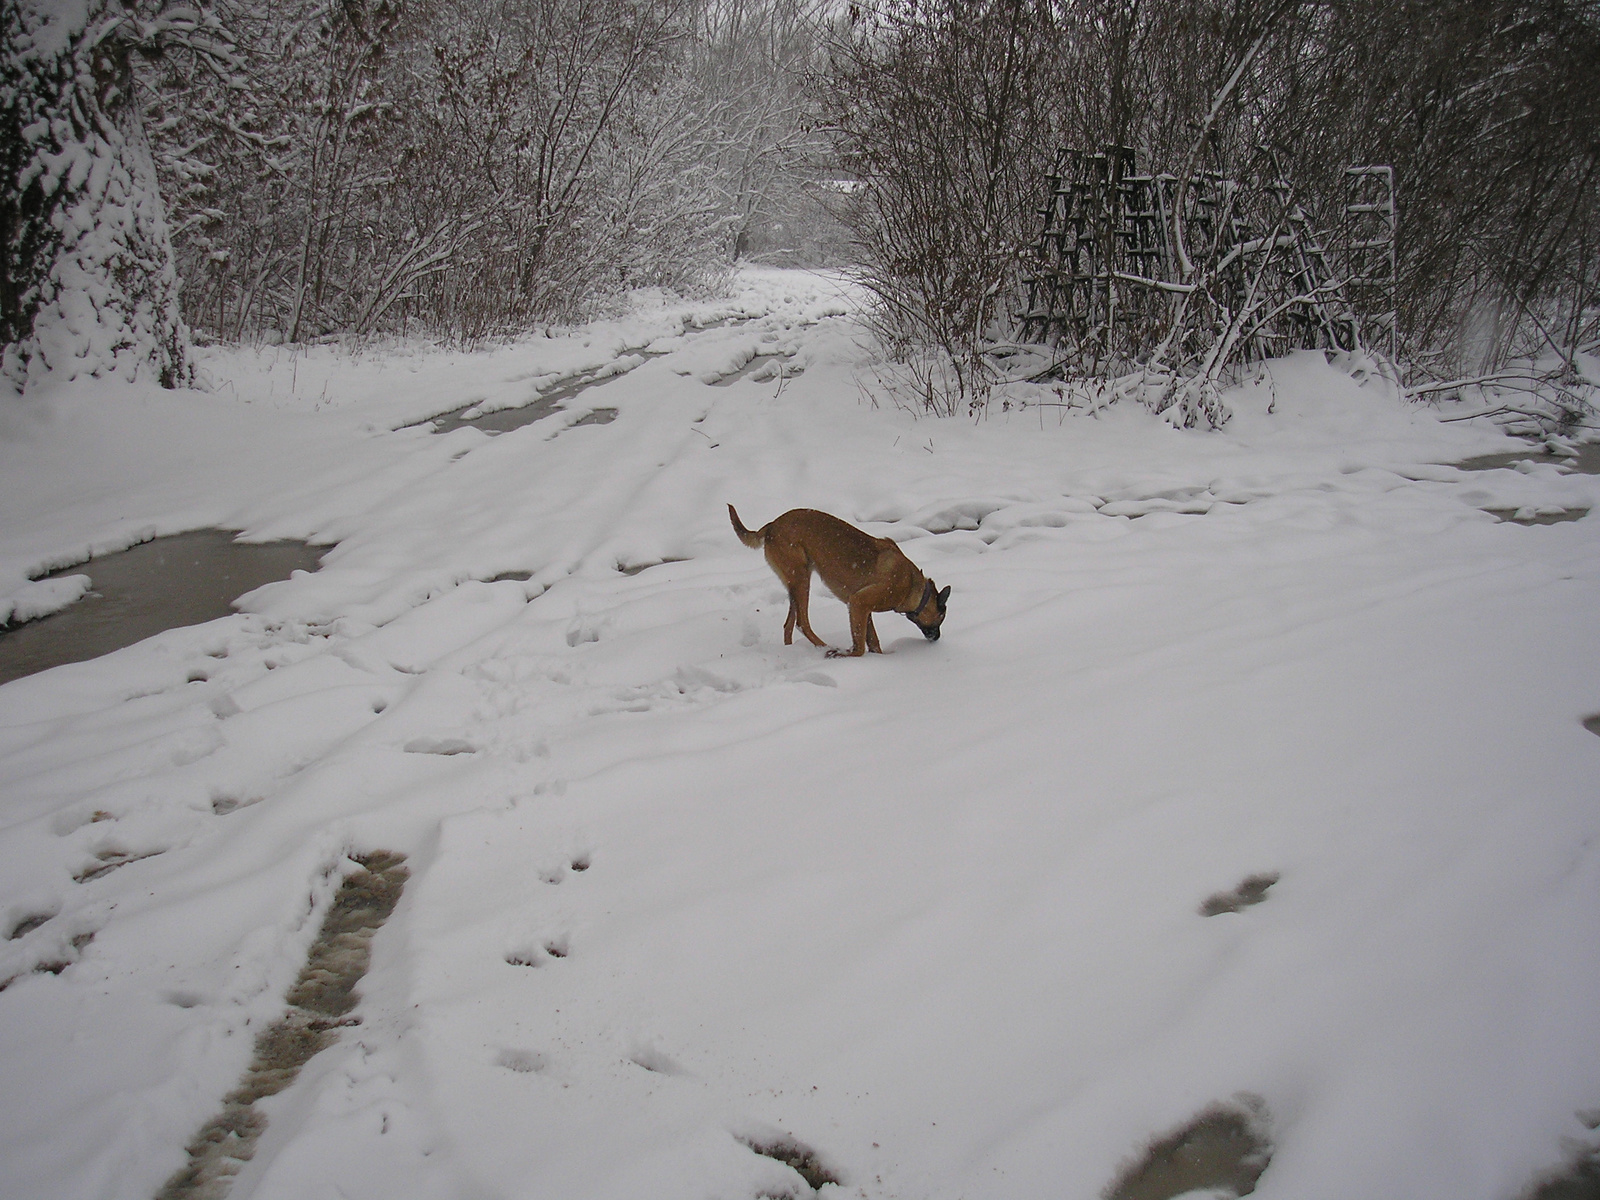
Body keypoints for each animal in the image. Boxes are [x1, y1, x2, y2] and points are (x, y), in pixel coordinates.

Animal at [729, 508, 947, 659]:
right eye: (941, 618)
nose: (937, 638)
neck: (914, 586)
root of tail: (772, 525)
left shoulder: (861, 608)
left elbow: (873, 641)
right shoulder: (859, 602)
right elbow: (860, 647)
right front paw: (847, 654)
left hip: (794, 583)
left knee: (788, 625)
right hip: (801, 579)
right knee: (802, 623)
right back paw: (826, 647)